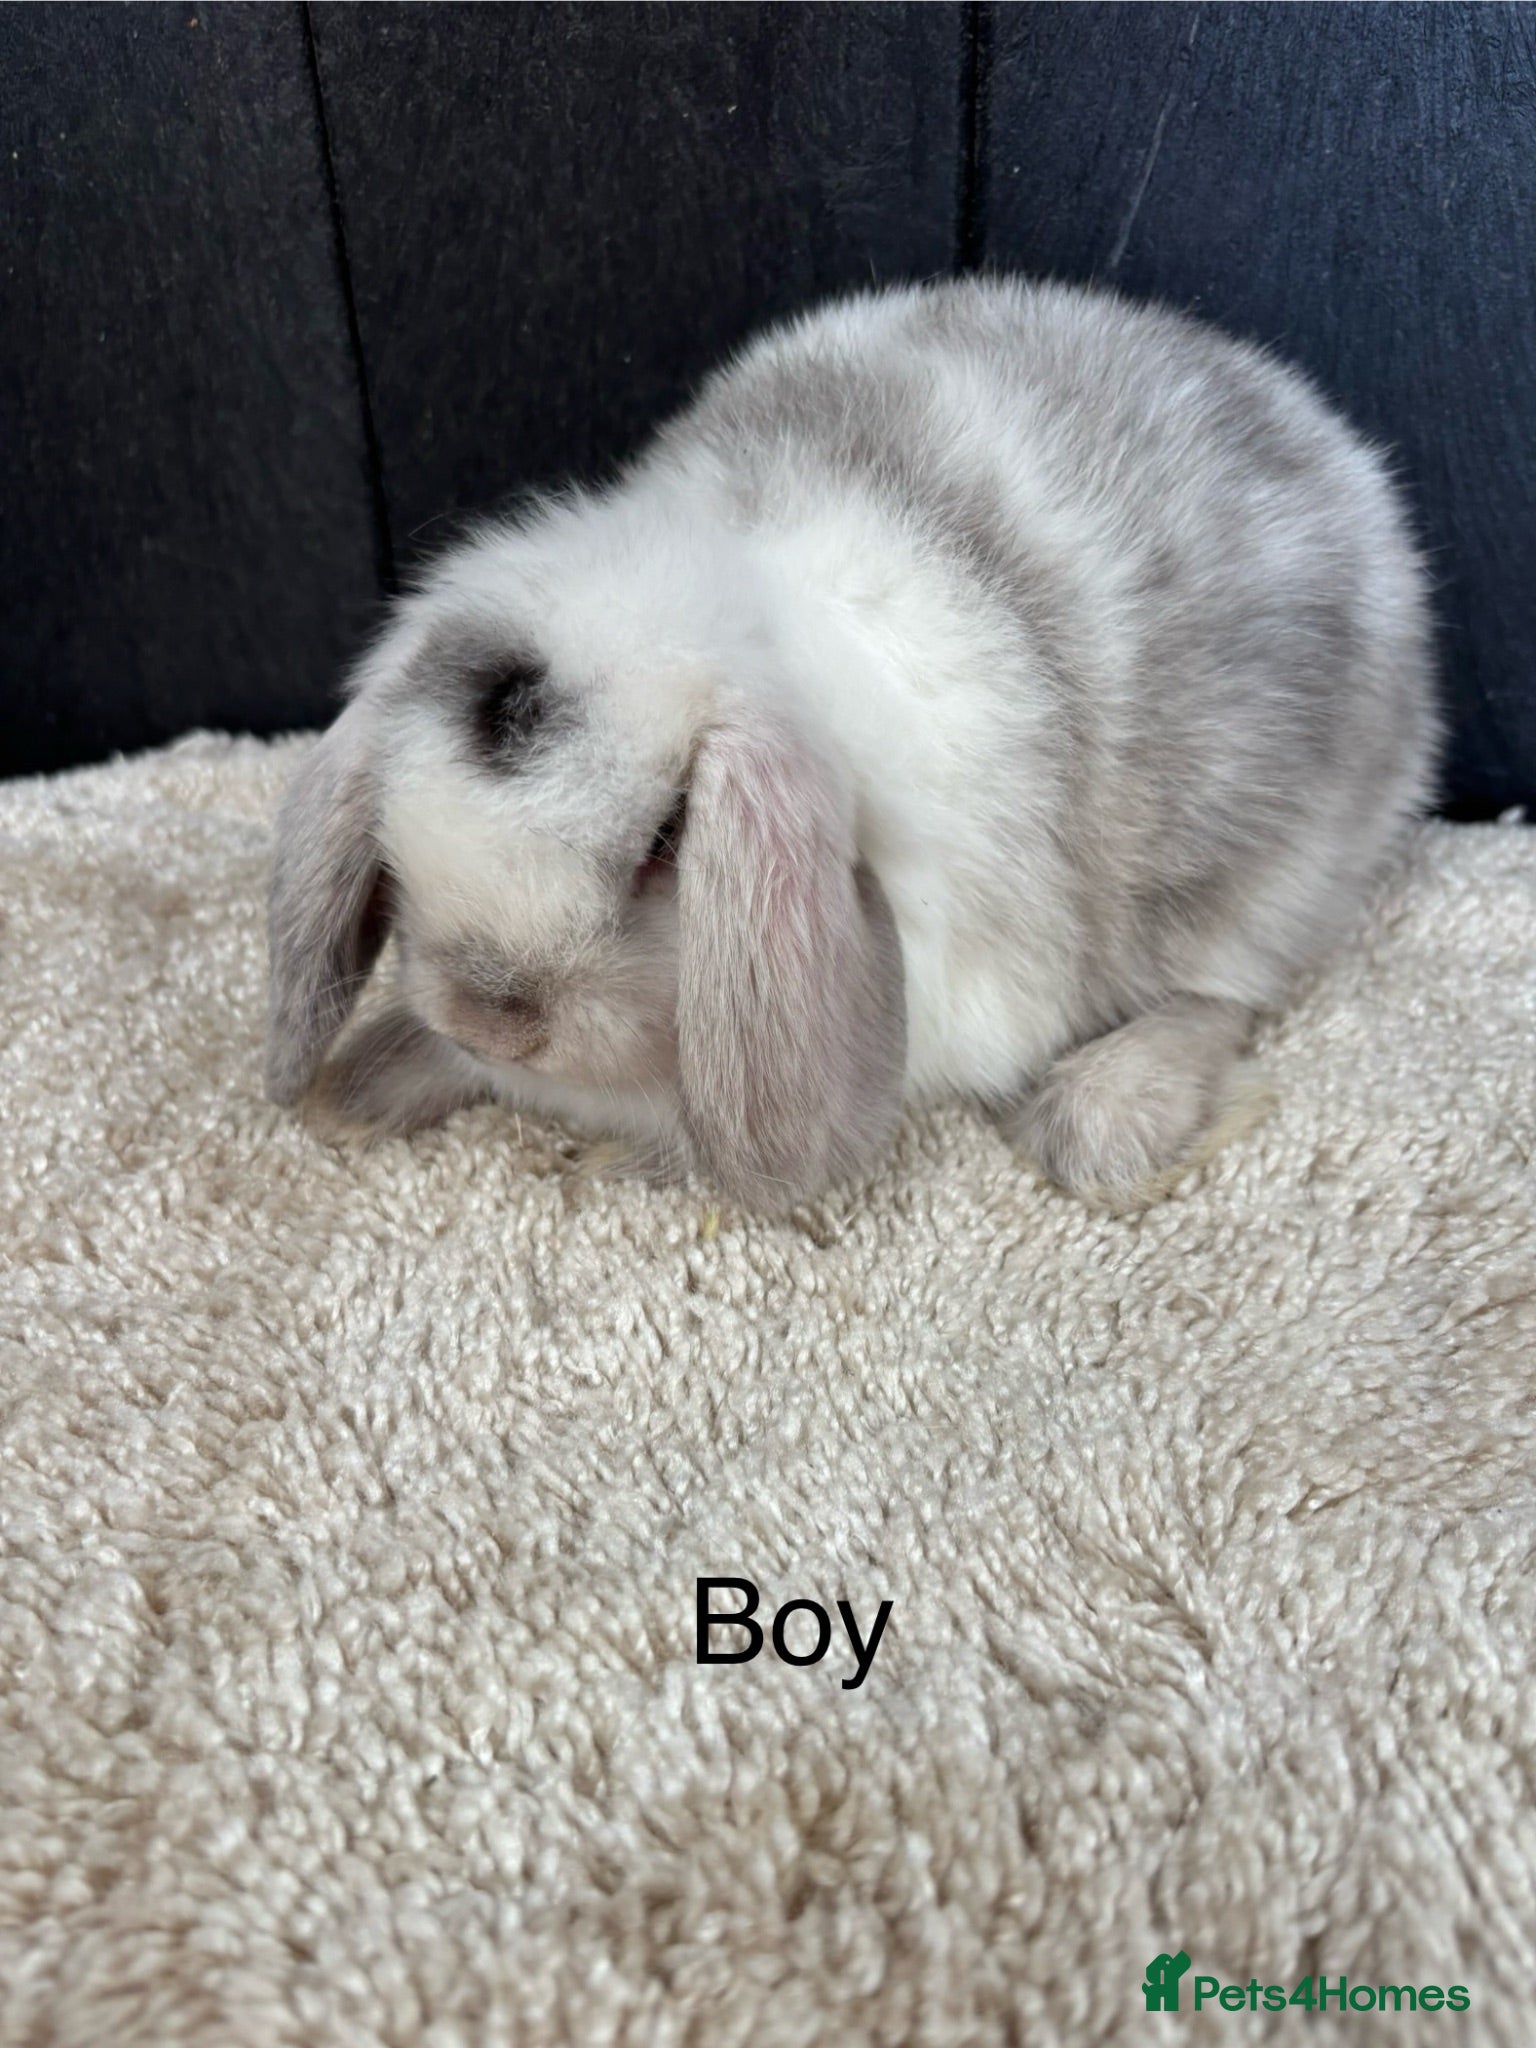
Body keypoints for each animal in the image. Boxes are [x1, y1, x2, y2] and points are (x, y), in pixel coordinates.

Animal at [266, 275, 1440, 1214]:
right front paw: (365, 1087)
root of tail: (1341, 459)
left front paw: (616, 1165)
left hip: (1263, 875)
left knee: (1225, 995)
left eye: (665, 843)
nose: (493, 1019)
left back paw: (1104, 1119)